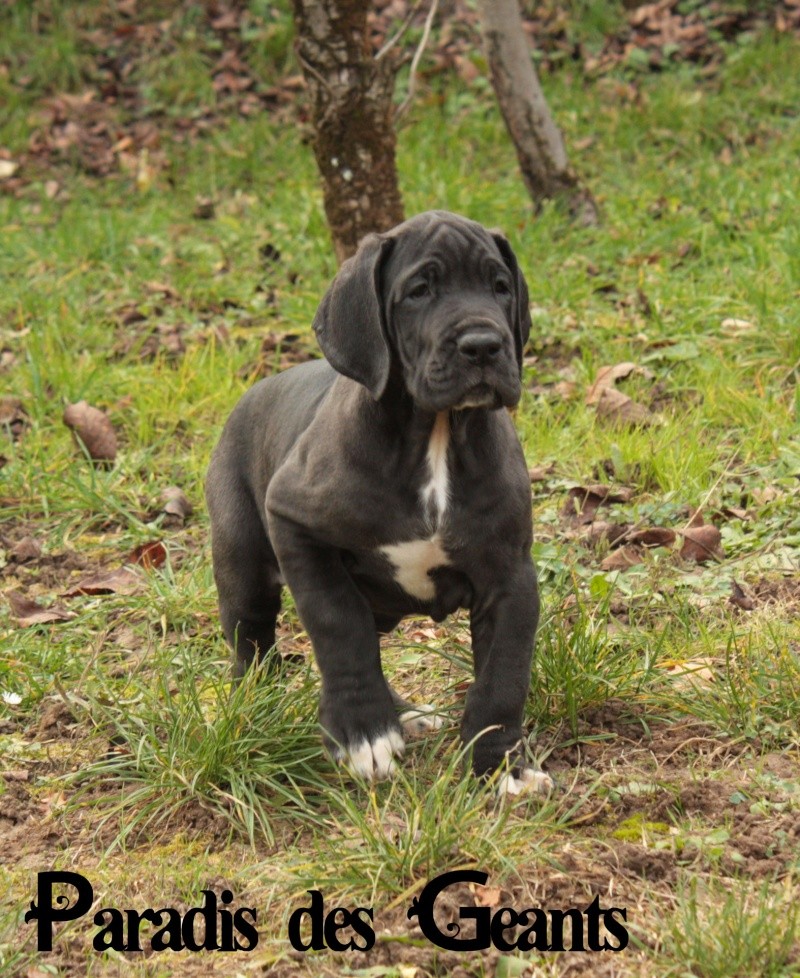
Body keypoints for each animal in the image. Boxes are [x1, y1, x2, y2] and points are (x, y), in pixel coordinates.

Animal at [206, 208, 552, 792]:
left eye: (500, 286)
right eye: (419, 291)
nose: (484, 344)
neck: (435, 436)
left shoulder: (511, 576)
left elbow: (503, 675)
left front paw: (500, 764)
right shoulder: (295, 525)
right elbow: (339, 628)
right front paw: (362, 733)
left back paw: (408, 714)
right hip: (243, 561)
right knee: (251, 641)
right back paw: (256, 709)